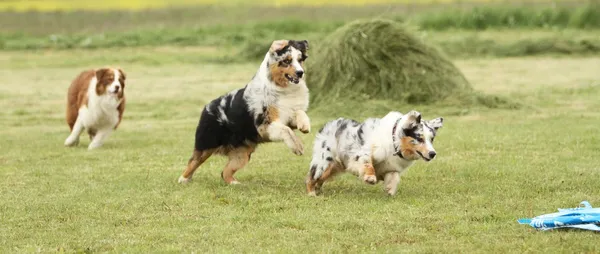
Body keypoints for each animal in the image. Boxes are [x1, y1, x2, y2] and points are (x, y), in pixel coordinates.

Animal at [308, 110, 442, 195]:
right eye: (420, 138)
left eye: (431, 139)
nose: (432, 154)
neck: (394, 142)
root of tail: (328, 124)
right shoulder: (363, 153)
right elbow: (368, 164)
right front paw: (370, 178)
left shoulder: (392, 168)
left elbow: (395, 177)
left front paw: (390, 190)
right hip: (324, 162)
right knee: (312, 176)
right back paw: (311, 194)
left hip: (334, 167)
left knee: (320, 179)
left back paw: (318, 190)